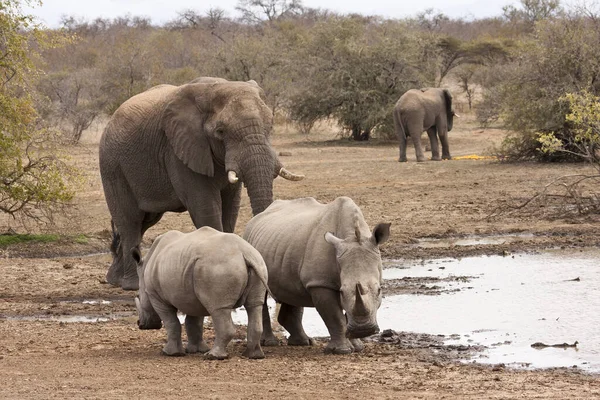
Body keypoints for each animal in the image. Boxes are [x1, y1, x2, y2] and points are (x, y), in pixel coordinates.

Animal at [101, 77, 304, 290]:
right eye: (220, 131)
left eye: (270, 126)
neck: (214, 87)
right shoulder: (179, 150)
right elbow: (206, 207)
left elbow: (230, 207)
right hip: (112, 165)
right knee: (130, 221)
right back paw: (132, 285)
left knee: (145, 221)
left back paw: (114, 280)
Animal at [133, 227, 270, 360]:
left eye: (139, 296)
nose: (141, 324)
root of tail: (243, 252)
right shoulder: (192, 296)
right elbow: (194, 323)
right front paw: (196, 350)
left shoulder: (156, 296)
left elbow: (172, 323)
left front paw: (171, 353)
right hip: (258, 263)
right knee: (254, 305)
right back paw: (254, 355)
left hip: (218, 267)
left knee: (218, 309)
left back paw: (213, 356)